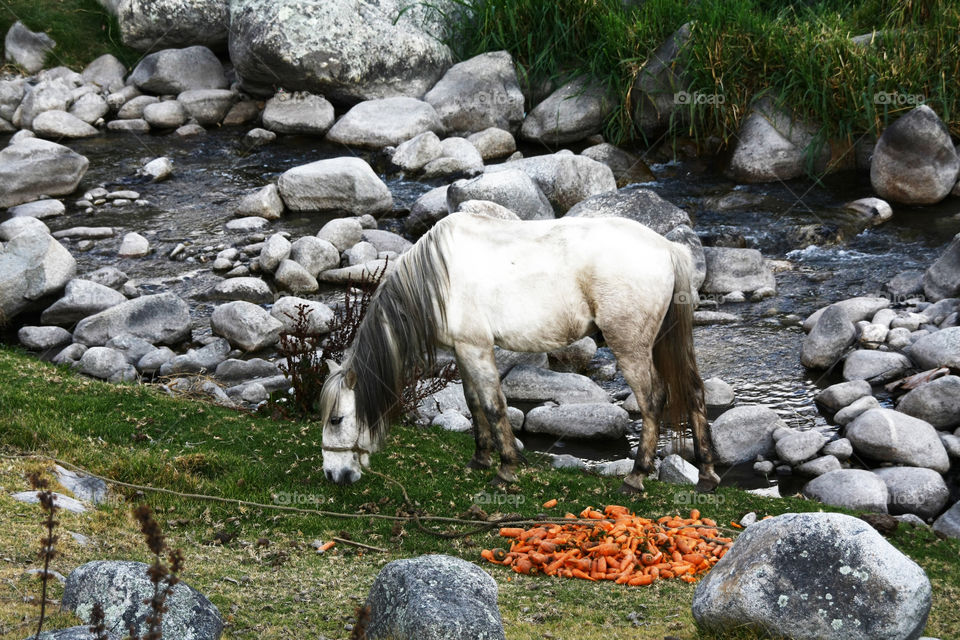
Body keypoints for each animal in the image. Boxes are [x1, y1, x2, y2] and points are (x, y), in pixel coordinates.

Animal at [319, 211, 721, 494]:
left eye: (337, 419)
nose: (333, 475)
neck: (436, 278)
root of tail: (668, 249)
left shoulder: (477, 348)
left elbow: (494, 405)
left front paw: (506, 468)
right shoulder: (464, 351)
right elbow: (474, 402)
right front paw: (480, 459)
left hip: (630, 347)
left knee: (653, 400)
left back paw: (636, 476)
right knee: (694, 392)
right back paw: (706, 474)